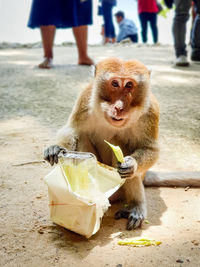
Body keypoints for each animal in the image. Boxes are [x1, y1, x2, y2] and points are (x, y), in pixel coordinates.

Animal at [43, 57, 159, 231]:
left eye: (129, 85)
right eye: (115, 83)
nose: (119, 107)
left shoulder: (150, 111)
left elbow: (150, 148)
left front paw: (132, 164)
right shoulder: (85, 99)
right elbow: (71, 130)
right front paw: (56, 149)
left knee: (120, 145)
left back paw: (135, 206)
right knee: (83, 137)